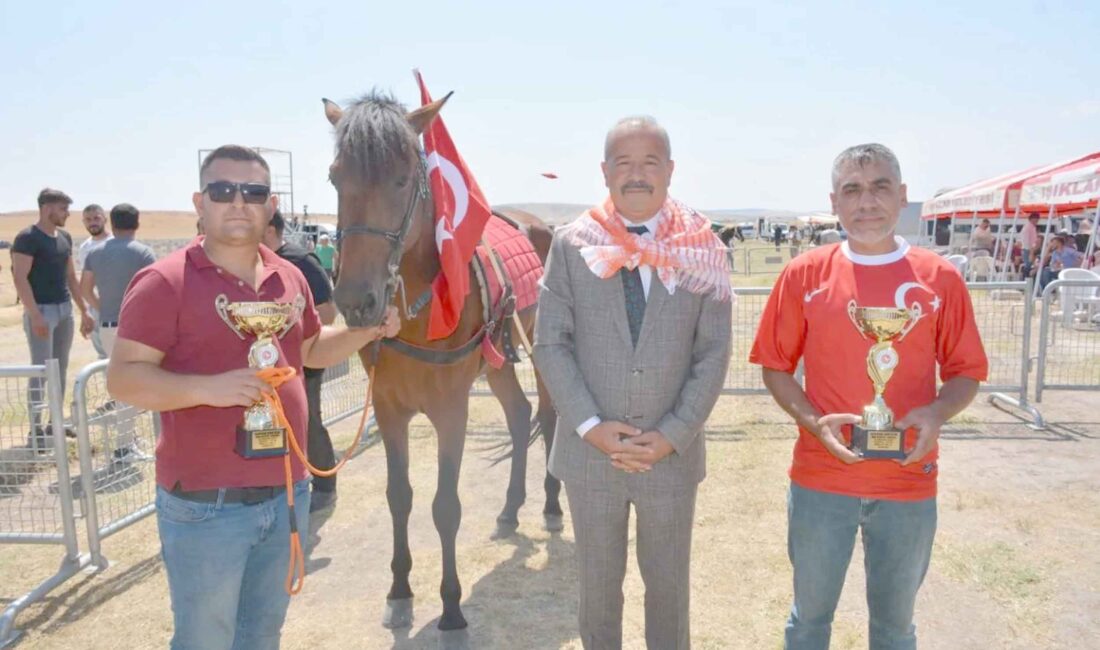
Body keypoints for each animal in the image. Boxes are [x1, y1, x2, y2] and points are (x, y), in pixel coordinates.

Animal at [319, 90, 558, 629]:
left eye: (403, 178)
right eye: (335, 177)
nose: (357, 301)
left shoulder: (451, 409)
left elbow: (445, 506)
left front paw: (451, 608)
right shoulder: (388, 408)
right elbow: (399, 497)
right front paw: (399, 590)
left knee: (551, 417)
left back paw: (552, 504)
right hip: (498, 362)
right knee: (519, 416)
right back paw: (510, 510)